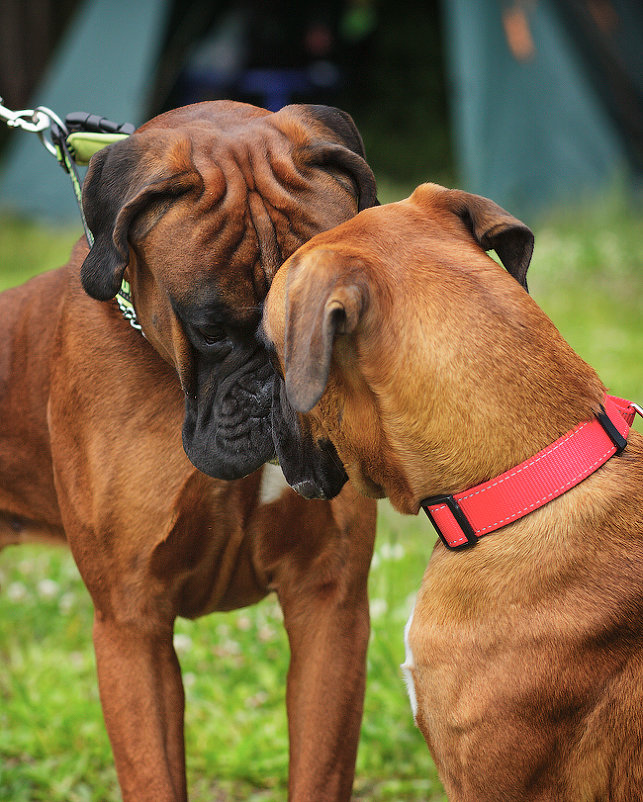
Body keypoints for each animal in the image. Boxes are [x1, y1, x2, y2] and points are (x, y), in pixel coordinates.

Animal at [0, 101, 380, 800]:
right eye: (209, 330)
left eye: (332, 313)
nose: (288, 393)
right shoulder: (132, 627)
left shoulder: (331, 610)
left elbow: (320, 769)